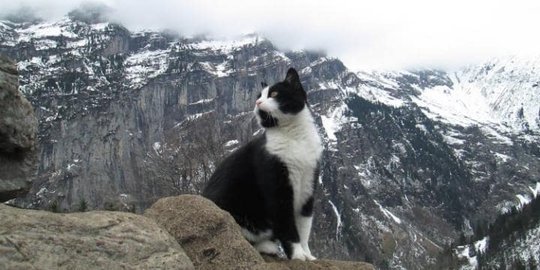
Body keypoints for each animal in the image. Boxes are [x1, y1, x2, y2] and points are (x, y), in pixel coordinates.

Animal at [201, 68, 320, 262]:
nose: (257, 102)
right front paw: (297, 255)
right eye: (258, 95)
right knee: (234, 235)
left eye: (274, 94)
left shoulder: (309, 185)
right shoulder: (277, 187)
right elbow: (287, 225)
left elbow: (304, 226)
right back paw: (267, 246)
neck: (294, 137)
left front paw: (308, 255)